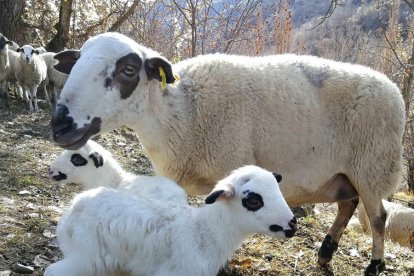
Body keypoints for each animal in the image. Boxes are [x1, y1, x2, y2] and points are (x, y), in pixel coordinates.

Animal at [45, 166, 298, 276]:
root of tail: (72, 209)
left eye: (277, 189)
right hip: (86, 258)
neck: (204, 233)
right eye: (254, 201)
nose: (292, 225)